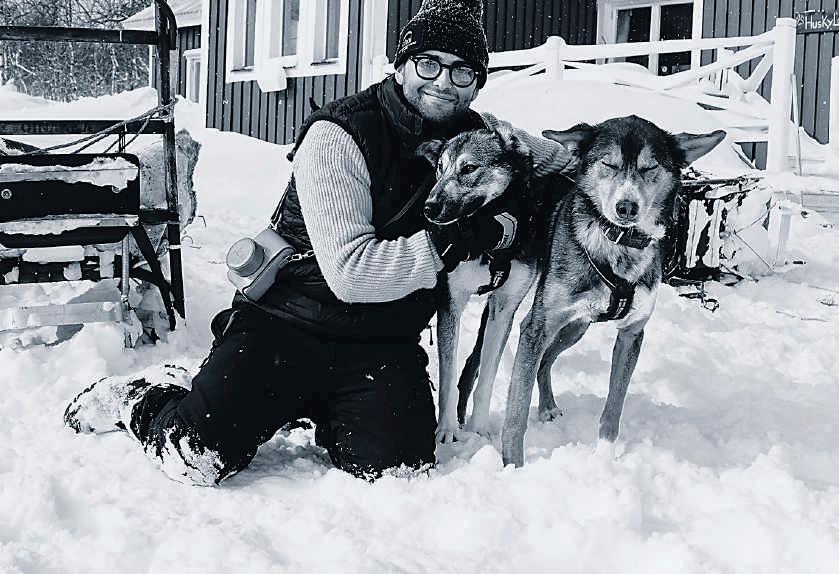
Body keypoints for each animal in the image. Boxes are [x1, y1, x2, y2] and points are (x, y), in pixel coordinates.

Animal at [417, 119, 568, 444]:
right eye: (439, 168)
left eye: (469, 168)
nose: (429, 207)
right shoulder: (451, 302)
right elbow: (447, 377)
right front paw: (447, 430)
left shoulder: (504, 307)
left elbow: (487, 376)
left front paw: (479, 428)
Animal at [498, 115, 726, 467]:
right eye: (609, 163)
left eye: (650, 167)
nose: (626, 206)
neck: (617, 242)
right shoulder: (538, 326)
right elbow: (516, 409)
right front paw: (513, 466)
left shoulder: (632, 334)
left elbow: (614, 406)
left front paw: (604, 457)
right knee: (530, 352)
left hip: (574, 328)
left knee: (545, 361)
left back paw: (548, 406)